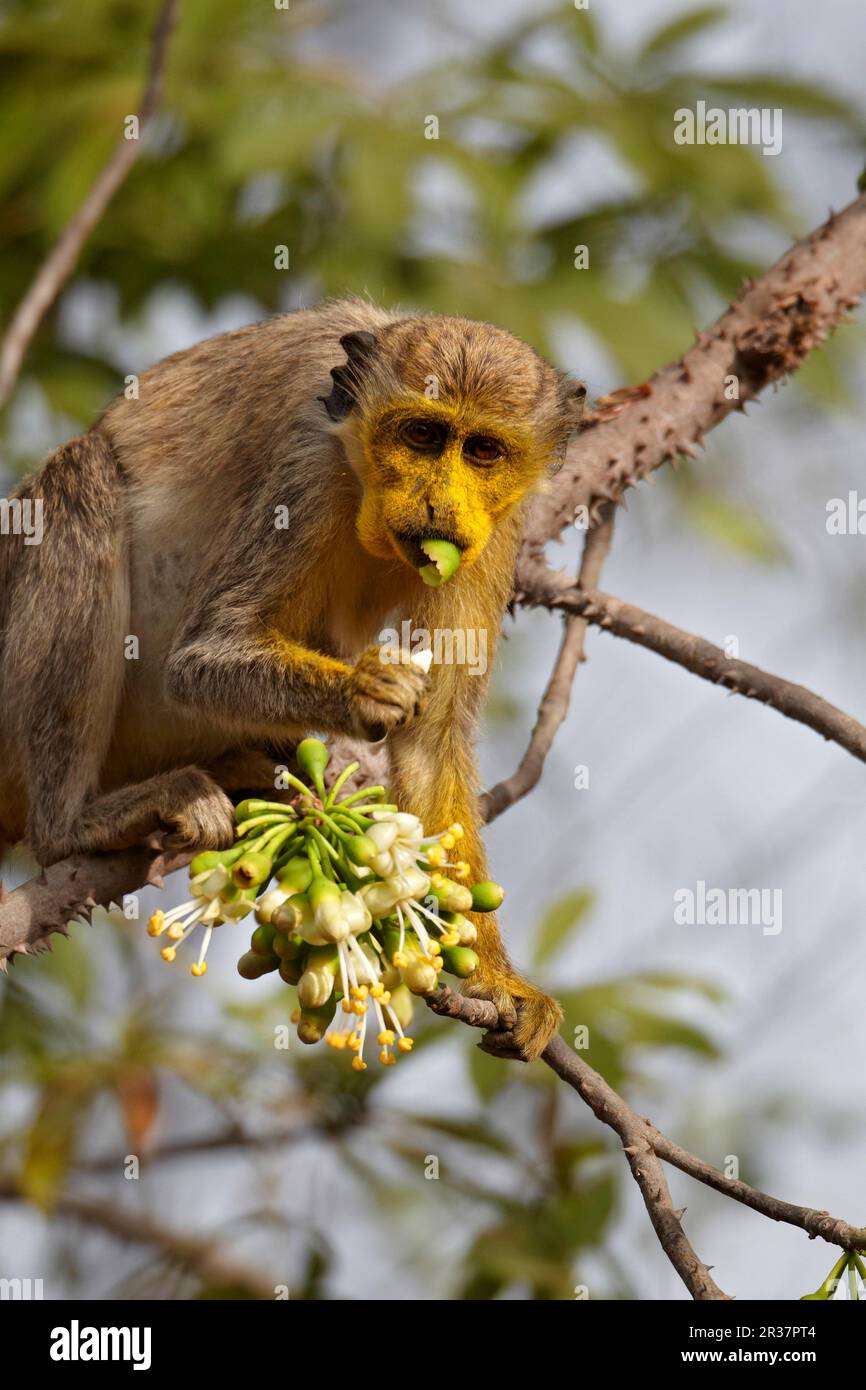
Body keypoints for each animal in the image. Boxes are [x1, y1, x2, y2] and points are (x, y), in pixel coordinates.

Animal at [0, 298, 586, 1056]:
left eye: (483, 451)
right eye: (422, 435)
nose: (437, 503)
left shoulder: (494, 532)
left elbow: (431, 739)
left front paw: (496, 983)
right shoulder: (306, 467)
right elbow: (201, 657)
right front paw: (362, 691)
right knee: (81, 477)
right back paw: (73, 826)